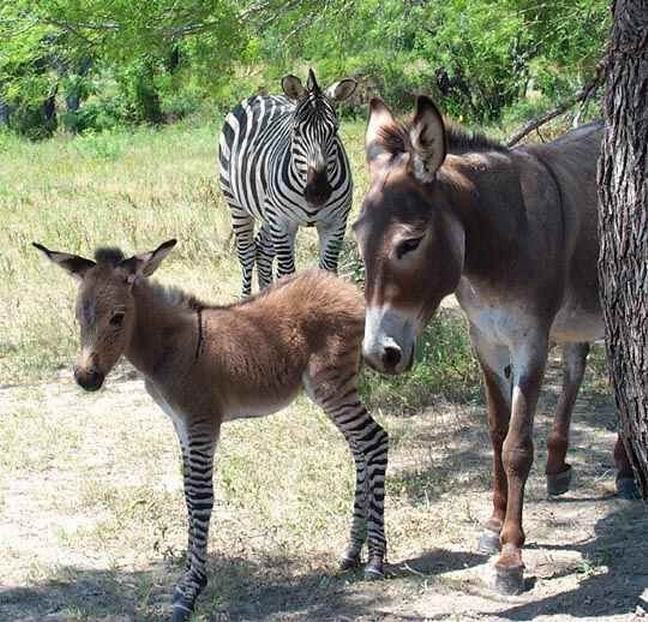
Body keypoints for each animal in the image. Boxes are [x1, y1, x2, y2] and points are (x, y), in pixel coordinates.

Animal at [34, 240, 384, 622]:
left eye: (117, 317)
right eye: (79, 318)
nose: (86, 379)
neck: (169, 349)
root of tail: (345, 288)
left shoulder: (201, 422)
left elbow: (200, 498)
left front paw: (189, 592)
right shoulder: (181, 424)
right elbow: (188, 495)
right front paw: (188, 584)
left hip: (331, 386)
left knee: (374, 440)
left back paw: (377, 561)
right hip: (335, 390)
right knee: (359, 449)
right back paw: (352, 553)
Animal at [220, 68, 356, 298]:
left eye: (335, 131)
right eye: (296, 130)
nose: (317, 192)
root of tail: (262, 95)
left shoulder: (336, 223)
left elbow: (328, 272)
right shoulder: (283, 222)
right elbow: (287, 274)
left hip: (267, 211)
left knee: (262, 250)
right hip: (237, 203)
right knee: (246, 254)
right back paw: (246, 298)